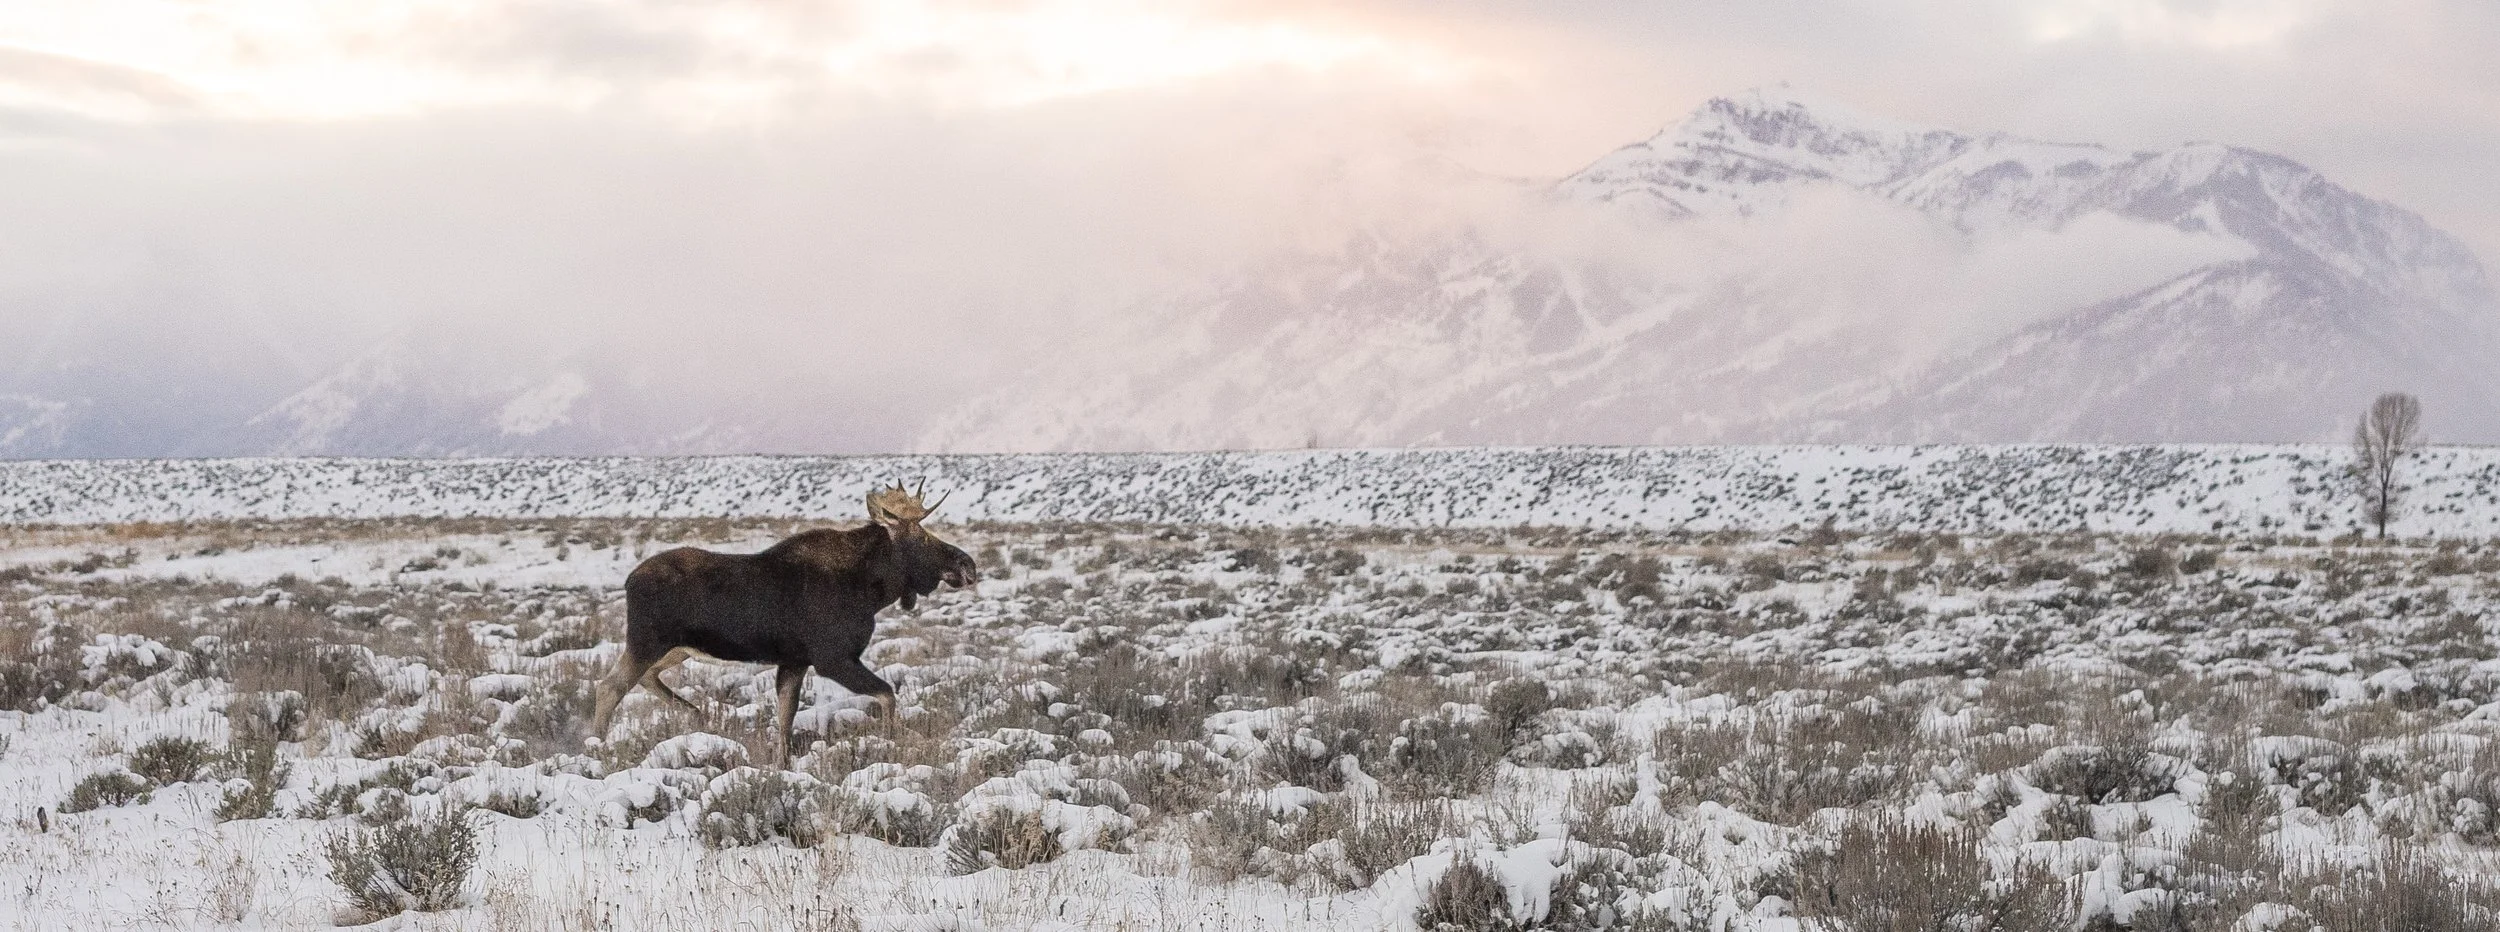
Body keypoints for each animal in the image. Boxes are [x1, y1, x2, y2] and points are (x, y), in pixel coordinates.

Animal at [589, 482, 978, 767]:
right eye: (924, 537)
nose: (968, 565)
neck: (871, 589)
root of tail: (629, 580)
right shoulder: (832, 658)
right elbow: (887, 694)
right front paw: (891, 743)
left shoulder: (794, 661)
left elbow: (785, 718)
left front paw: (782, 763)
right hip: (647, 640)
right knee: (610, 686)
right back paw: (597, 749)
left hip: (677, 647)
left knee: (645, 679)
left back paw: (697, 714)